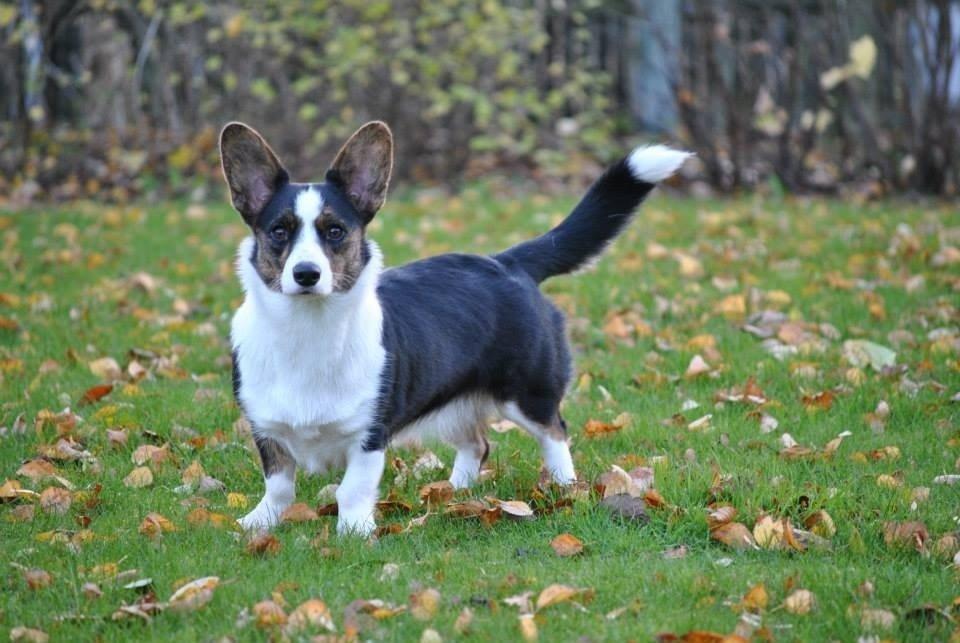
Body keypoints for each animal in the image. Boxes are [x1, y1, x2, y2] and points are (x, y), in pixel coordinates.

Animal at [223, 119, 688, 532]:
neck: (307, 331)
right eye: (278, 231)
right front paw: (259, 523)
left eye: (335, 231)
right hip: (454, 399)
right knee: (477, 444)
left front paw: (354, 532)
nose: (306, 274)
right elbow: (279, 485)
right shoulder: (267, 431)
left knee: (555, 432)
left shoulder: (371, 435)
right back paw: (454, 491)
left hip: (527, 392)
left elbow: (352, 489)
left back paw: (564, 486)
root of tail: (508, 261)